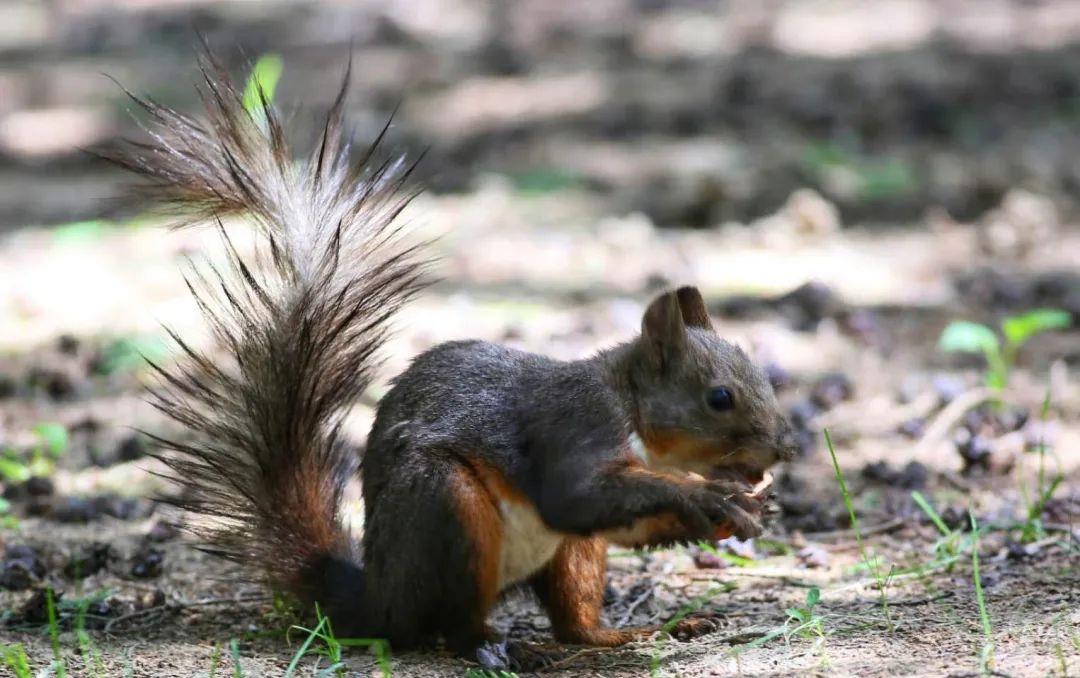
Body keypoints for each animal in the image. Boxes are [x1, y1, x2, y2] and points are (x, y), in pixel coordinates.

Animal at [107, 51, 803, 669]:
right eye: (719, 397)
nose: (781, 450)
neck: (637, 419)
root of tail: (380, 598)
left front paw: (740, 507)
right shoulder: (576, 426)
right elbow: (575, 495)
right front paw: (710, 495)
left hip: (570, 556)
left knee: (573, 620)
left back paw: (629, 633)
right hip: (448, 509)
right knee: (450, 622)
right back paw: (494, 646)